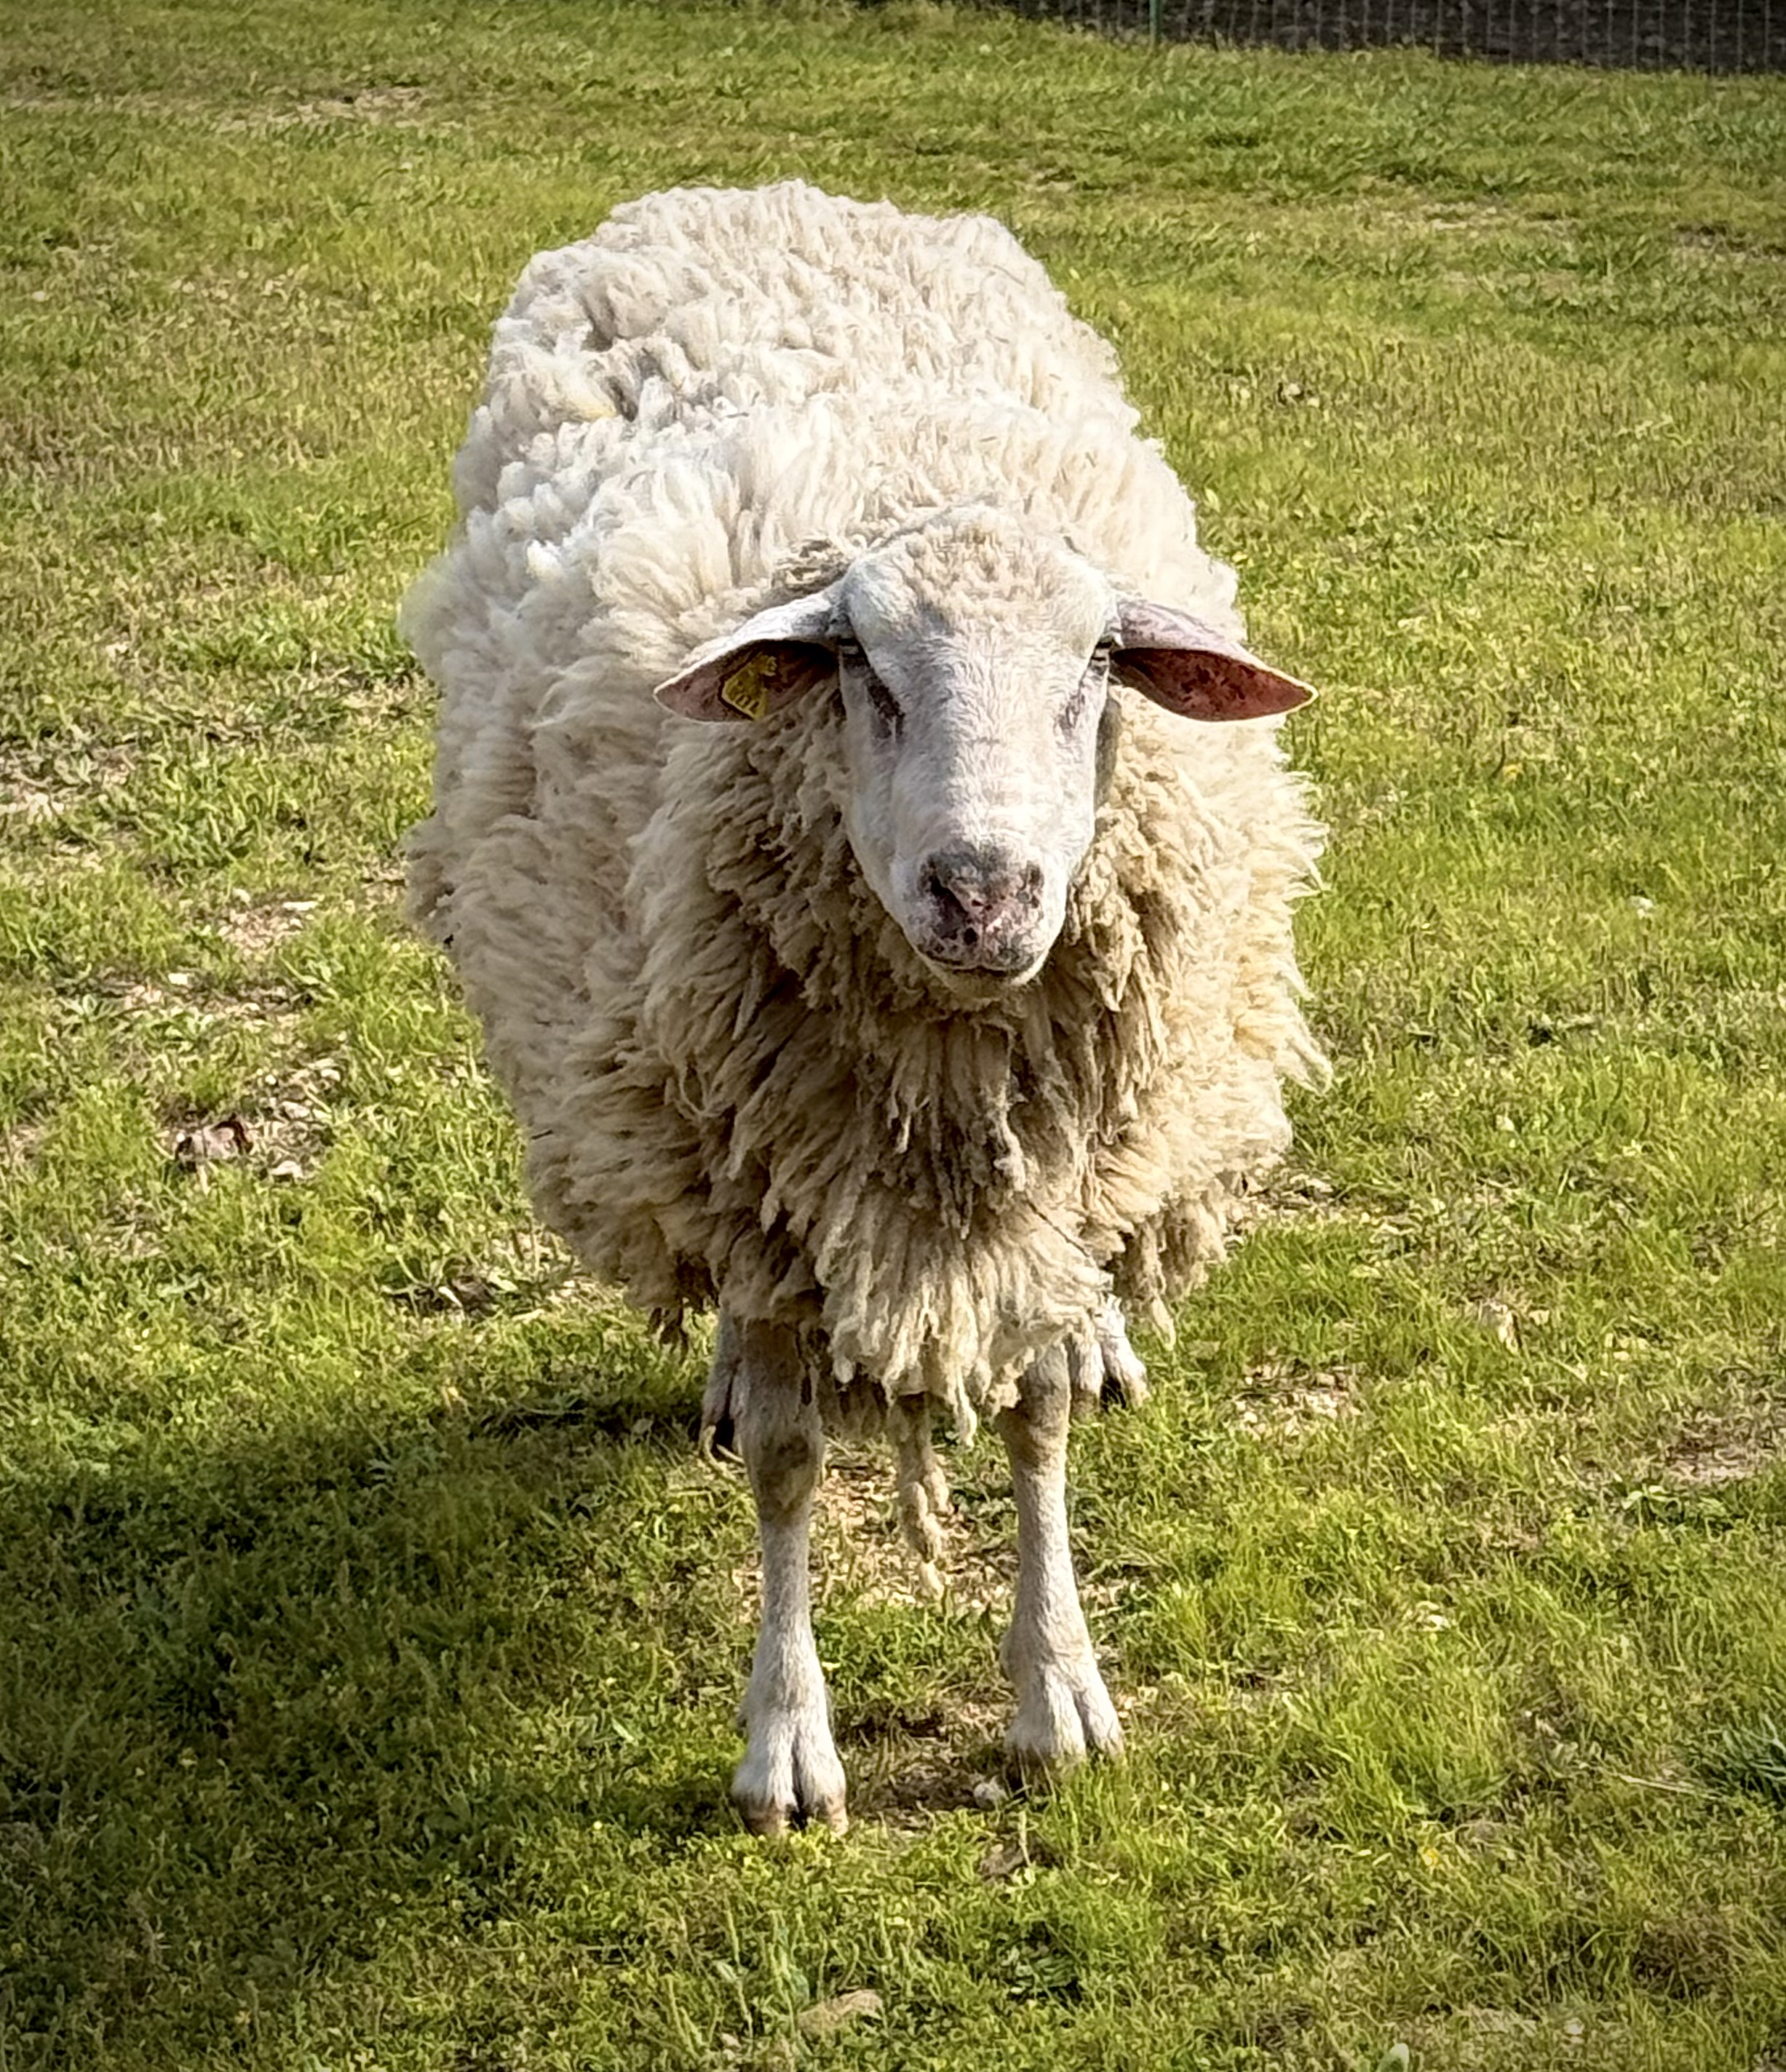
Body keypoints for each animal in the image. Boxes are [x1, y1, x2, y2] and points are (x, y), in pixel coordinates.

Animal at [403, 180, 1323, 1836]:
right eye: (860, 673)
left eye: (1099, 666)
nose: (984, 890)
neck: (944, 1095)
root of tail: (764, 189)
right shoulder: (752, 1178)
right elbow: (784, 1463)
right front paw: (784, 1737)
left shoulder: (1057, 1179)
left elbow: (1036, 1417)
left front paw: (1054, 1692)